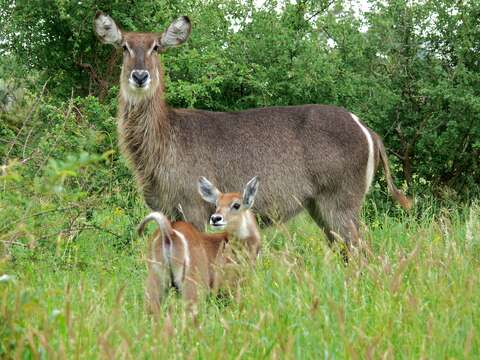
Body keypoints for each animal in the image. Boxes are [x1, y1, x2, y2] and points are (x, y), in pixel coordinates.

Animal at [94, 11, 412, 253]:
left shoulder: (195, 208)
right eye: (124, 46)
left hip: (340, 202)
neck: (164, 138)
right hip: (320, 207)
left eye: (156, 47)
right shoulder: (164, 210)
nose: (140, 76)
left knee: (362, 251)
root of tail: (367, 129)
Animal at [137, 176, 260, 310]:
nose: (215, 218)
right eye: (216, 205)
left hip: (157, 281)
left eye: (236, 205)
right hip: (194, 286)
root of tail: (170, 232)